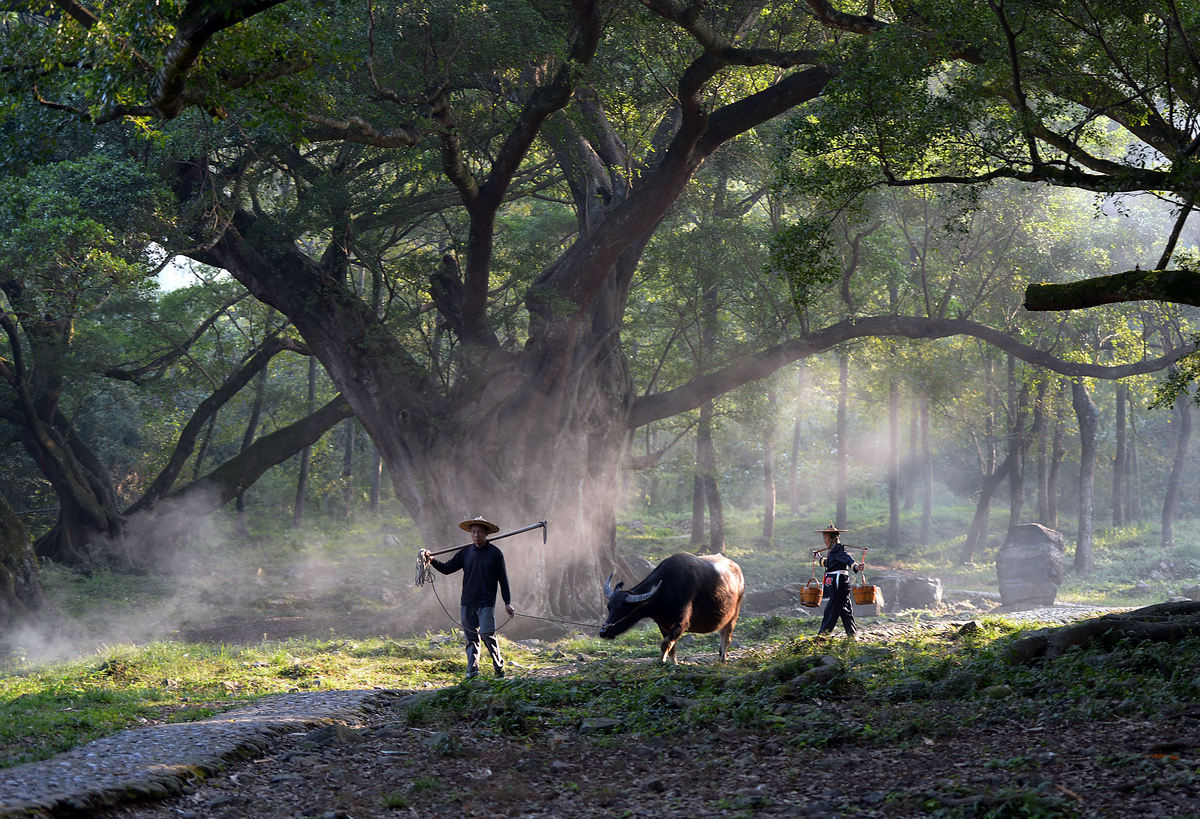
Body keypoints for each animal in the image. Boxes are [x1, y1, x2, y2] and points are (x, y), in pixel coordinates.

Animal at [597, 552, 739, 658]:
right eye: (609, 607)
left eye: (623, 609)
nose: (603, 632)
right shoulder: (662, 625)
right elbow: (671, 648)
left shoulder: (681, 622)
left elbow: (666, 644)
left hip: (733, 617)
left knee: (726, 639)